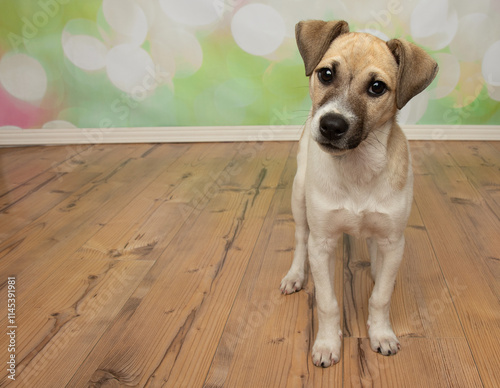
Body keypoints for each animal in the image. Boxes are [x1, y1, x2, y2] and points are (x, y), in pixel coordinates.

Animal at [280, 20, 440, 366]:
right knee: (300, 237)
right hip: (299, 196)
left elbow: (381, 297)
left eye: (377, 87)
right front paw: (327, 344)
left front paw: (381, 334)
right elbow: (327, 302)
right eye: (326, 74)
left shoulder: (393, 240)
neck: (357, 168)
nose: (331, 125)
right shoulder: (322, 243)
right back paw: (295, 274)